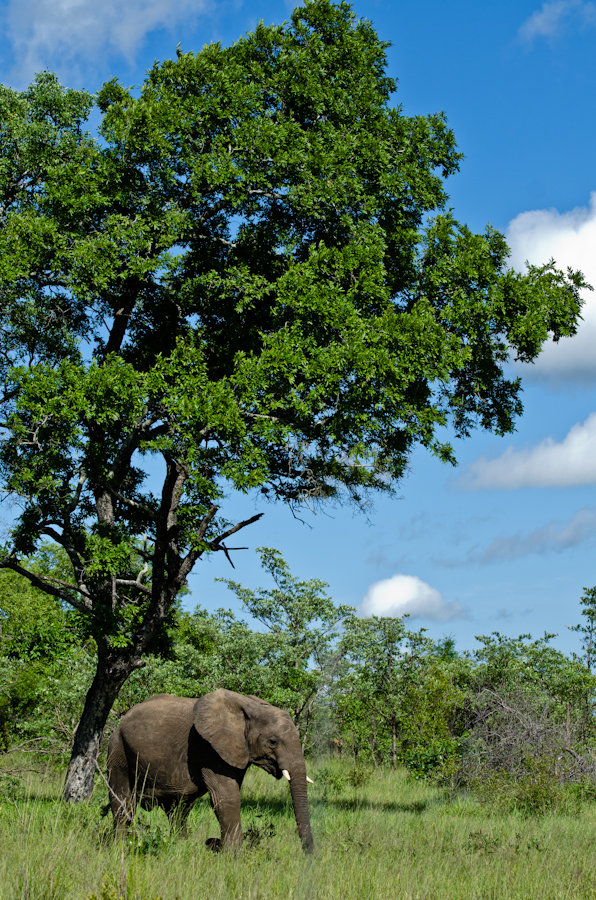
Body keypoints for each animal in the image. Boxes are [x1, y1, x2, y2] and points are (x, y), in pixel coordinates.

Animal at [106, 688, 314, 852]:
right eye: (273, 742)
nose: (310, 857)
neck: (248, 709)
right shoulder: (208, 748)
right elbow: (226, 797)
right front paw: (234, 858)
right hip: (118, 749)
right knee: (123, 802)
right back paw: (119, 848)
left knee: (178, 810)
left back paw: (180, 846)